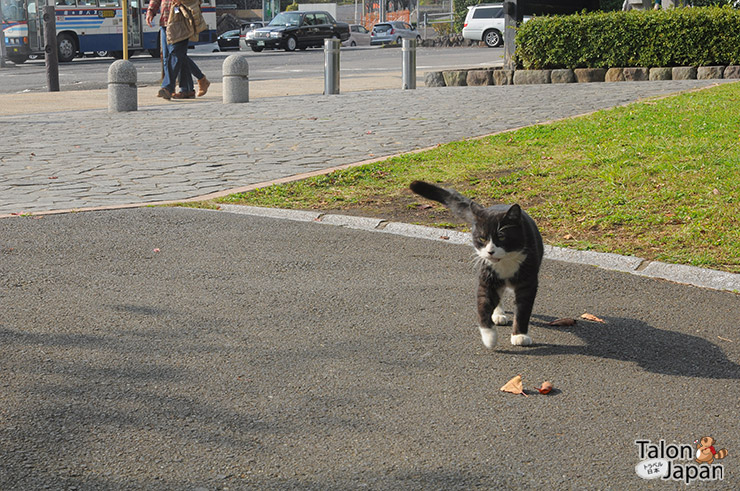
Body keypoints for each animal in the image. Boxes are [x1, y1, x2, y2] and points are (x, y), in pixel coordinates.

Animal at [410, 182, 544, 350]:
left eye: (501, 236)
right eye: (482, 238)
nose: (490, 251)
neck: (505, 262)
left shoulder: (528, 281)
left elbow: (523, 310)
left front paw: (520, 335)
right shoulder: (486, 277)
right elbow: (484, 305)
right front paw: (490, 337)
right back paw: (498, 314)